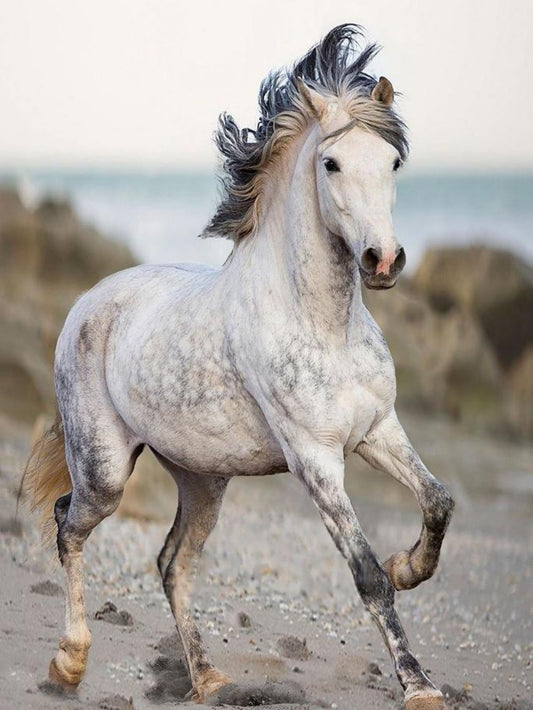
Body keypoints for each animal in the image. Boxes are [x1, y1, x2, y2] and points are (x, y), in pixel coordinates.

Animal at [23, 24, 454, 710]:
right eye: (331, 163)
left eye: (392, 163)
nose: (383, 261)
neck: (322, 323)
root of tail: (88, 302)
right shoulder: (314, 460)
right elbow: (366, 577)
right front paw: (417, 685)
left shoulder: (377, 430)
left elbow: (438, 502)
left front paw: (409, 566)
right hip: (106, 469)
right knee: (68, 523)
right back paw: (69, 662)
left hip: (204, 480)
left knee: (173, 563)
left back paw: (209, 679)